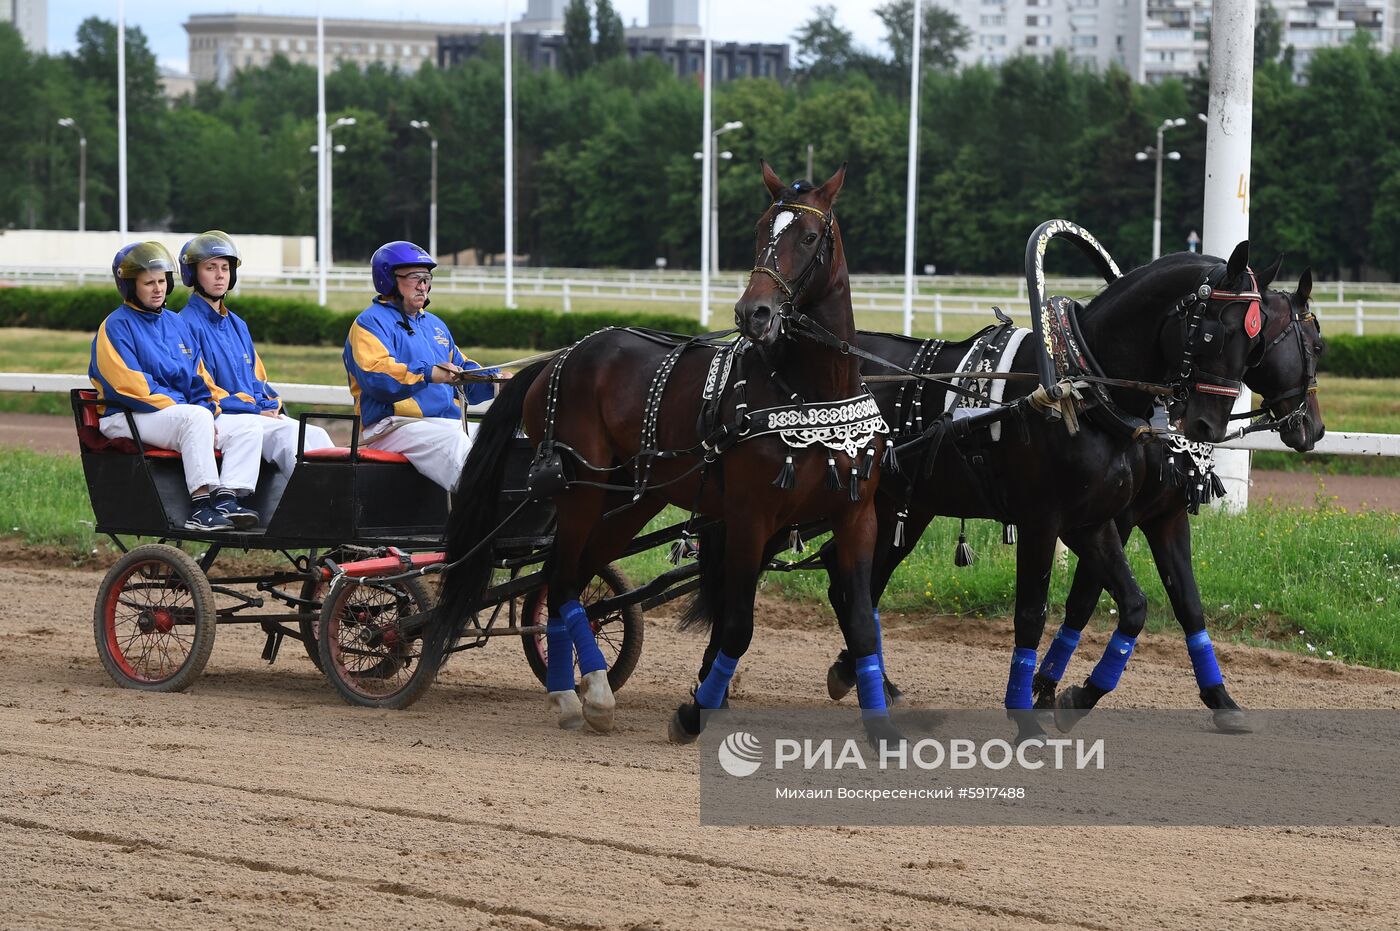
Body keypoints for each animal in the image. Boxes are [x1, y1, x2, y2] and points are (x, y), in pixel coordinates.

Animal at [420, 161, 890, 739]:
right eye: (761, 229)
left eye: (807, 236)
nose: (753, 312)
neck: (807, 392)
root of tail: (560, 357)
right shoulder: (750, 516)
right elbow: (736, 626)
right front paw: (693, 712)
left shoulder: (857, 515)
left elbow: (863, 626)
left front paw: (883, 728)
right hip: (581, 488)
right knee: (561, 581)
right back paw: (582, 694)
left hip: (632, 498)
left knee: (568, 580)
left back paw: (580, 688)